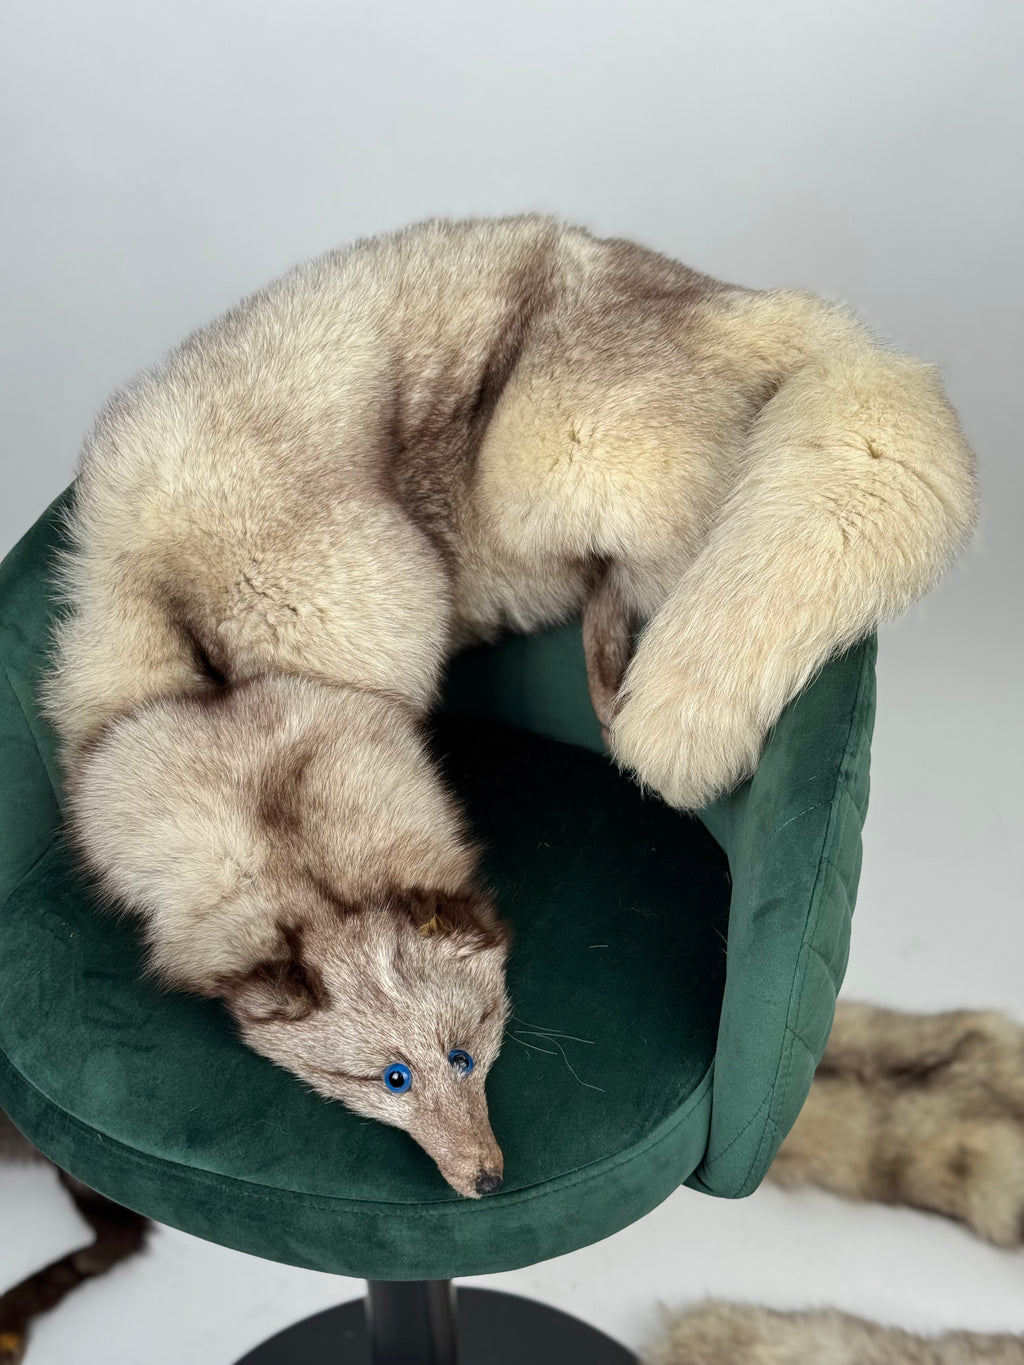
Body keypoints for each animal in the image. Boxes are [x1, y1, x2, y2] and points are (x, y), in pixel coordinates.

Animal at [41, 215, 977, 1199]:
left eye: (465, 1055)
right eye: (389, 1079)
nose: (485, 1180)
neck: (217, 682)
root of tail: (717, 295)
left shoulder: (379, 588)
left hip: (540, 465)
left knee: (653, 564)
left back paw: (614, 679)